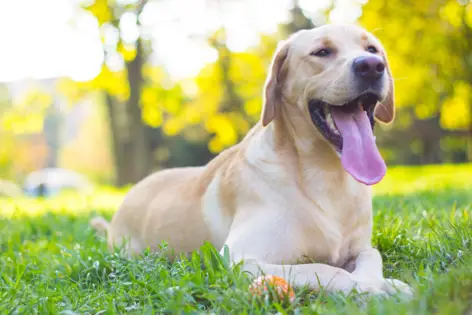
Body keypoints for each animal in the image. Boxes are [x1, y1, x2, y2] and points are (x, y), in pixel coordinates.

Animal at [90, 24, 412, 296]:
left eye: (371, 49)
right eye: (322, 52)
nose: (371, 66)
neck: (326, 172)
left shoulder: (360, 247)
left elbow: (371, 255)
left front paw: (387, 283)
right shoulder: (240, 259)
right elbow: (325, 269)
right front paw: (368, 287)